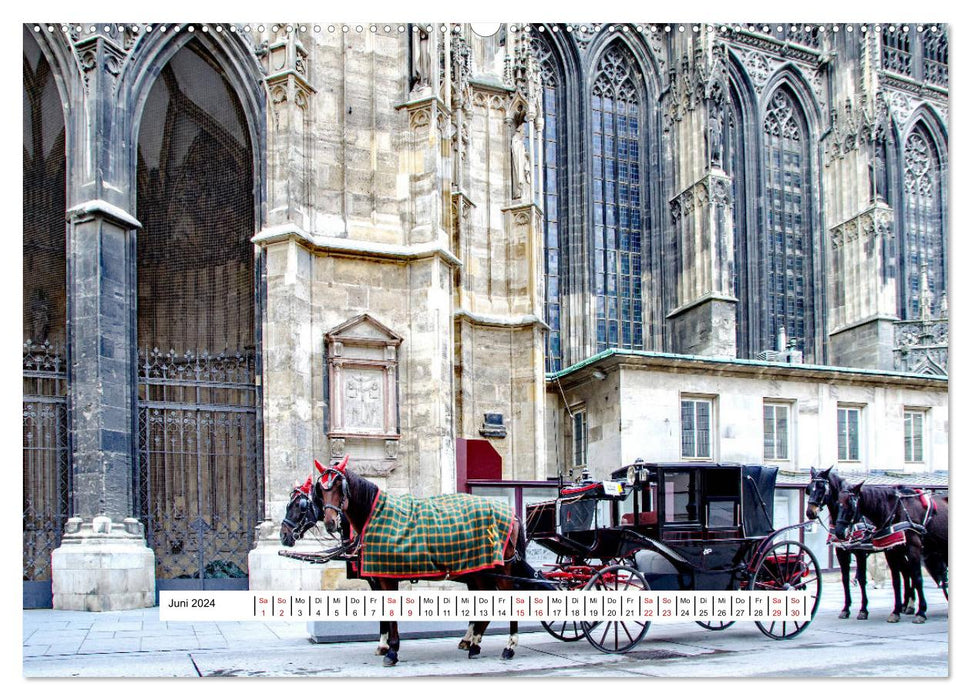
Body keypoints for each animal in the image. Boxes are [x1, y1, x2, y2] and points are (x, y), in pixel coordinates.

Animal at [280, 460, 540, 668]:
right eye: (320, 493)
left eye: (300, 504)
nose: (283, 535)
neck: (372, 517)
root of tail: (510, 512)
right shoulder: (376, 578)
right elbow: (383, 615)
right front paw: (384, 645)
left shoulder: (386, 578)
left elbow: (391, 615)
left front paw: (392, 650)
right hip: (480, 571)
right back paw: (473, 643)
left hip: (501, 569)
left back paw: (509, 646)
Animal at [800, 468, 916, 620]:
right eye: (808, 489)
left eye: (821, 487)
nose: (810, 512)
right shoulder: (841, 552)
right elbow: (845, 579)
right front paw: (845, 609)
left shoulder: (860, 553)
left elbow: (861, 579)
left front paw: (863, 610)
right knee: (906, 573)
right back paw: (905, 604)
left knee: (909, 572)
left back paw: (910, 605)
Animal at [836, 482, 948, 624]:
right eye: (837, 503)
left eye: (850, 504)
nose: (839, 532)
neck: (896, 512)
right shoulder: (891, 551)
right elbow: (896, 581)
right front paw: (895, 612)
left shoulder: (913, 549)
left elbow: (917, 578)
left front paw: (921, 612)